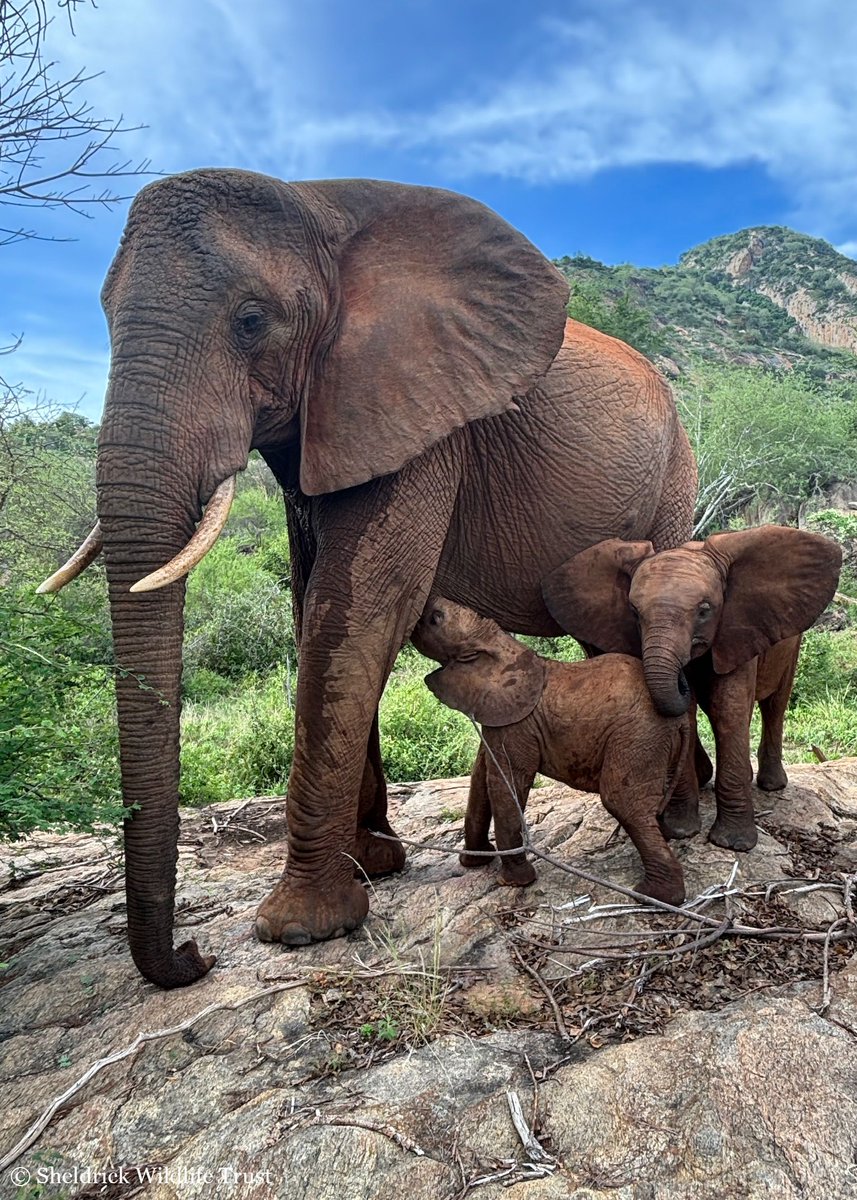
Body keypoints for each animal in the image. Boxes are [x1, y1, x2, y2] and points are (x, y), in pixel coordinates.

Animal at [410, 595, 691, 902]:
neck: (499, 643)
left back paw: (653, 895)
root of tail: (680, 718)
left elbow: (507, 784)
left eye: (435, 618)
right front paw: (474, 862)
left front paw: (515, 883)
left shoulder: (516, 723)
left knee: (621, 802)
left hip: (637, 736)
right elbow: (480, 778)